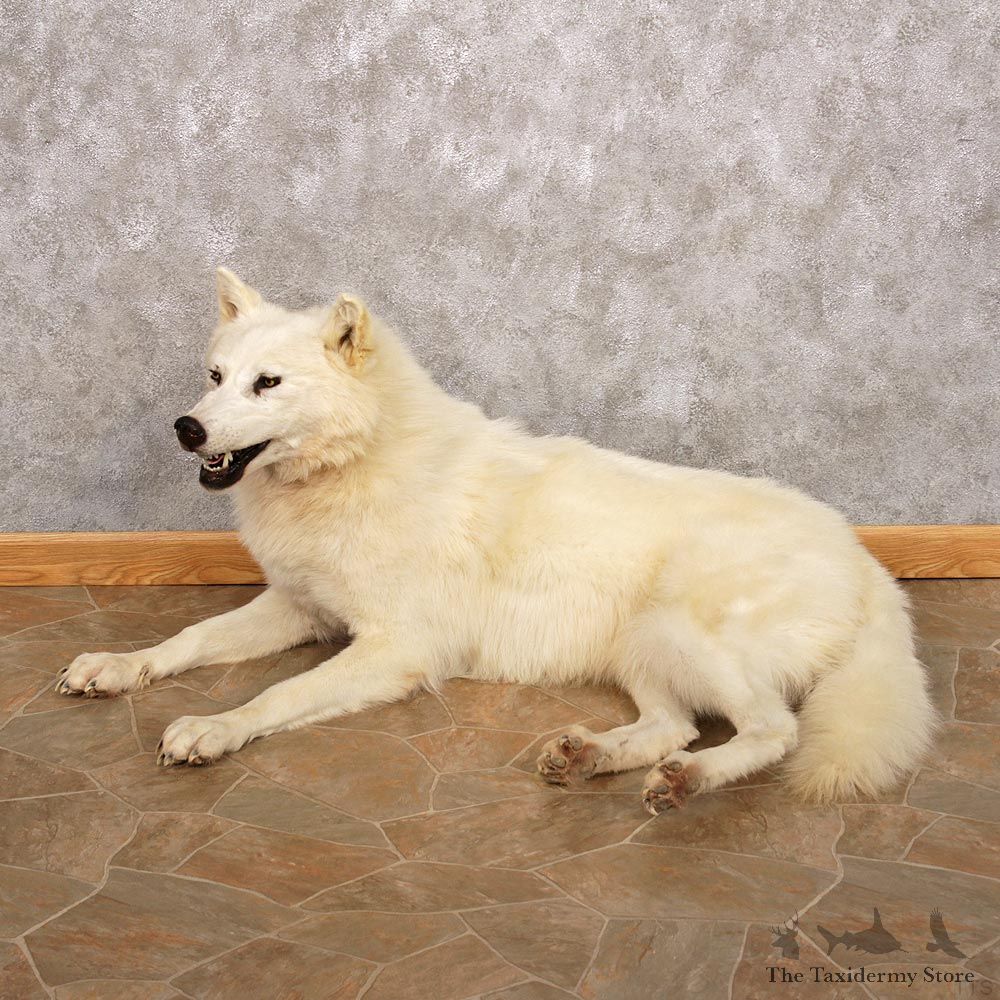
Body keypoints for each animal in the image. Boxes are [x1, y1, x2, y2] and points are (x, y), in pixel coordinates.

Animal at [57, 269, 935, 811]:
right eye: (215, 377)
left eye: (267, 384)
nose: (186, 427)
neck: (358, 462)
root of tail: (865, 561)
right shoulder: (300, 608)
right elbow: (190, 638)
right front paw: (117, 666)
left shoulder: (395, 649)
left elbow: (278, 695)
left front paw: (214, 728)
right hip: (642, 645)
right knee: (673, 727)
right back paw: (590, 757)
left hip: (685, 632)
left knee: (769, 731)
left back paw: (687, 781)